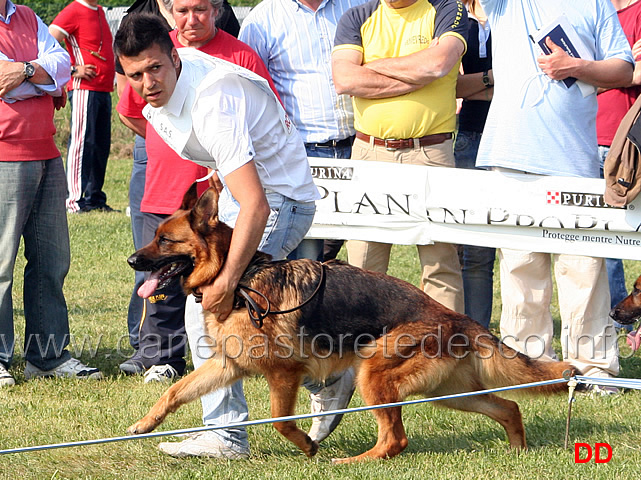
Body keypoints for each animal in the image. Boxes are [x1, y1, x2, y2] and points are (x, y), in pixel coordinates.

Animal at [127, 184, 576, 462]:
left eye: (164, 240)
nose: (132, 260)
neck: (240, 280)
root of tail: (456, 316)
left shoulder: (284, 374)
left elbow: (280, 420)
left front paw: (308, 446)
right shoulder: (226, 366)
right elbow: (174, 394)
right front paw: (143, 424)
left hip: (375, 375)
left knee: (395, 438)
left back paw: (354, 461)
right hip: (445, 392)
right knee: (508, 406)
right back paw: (518, 450)